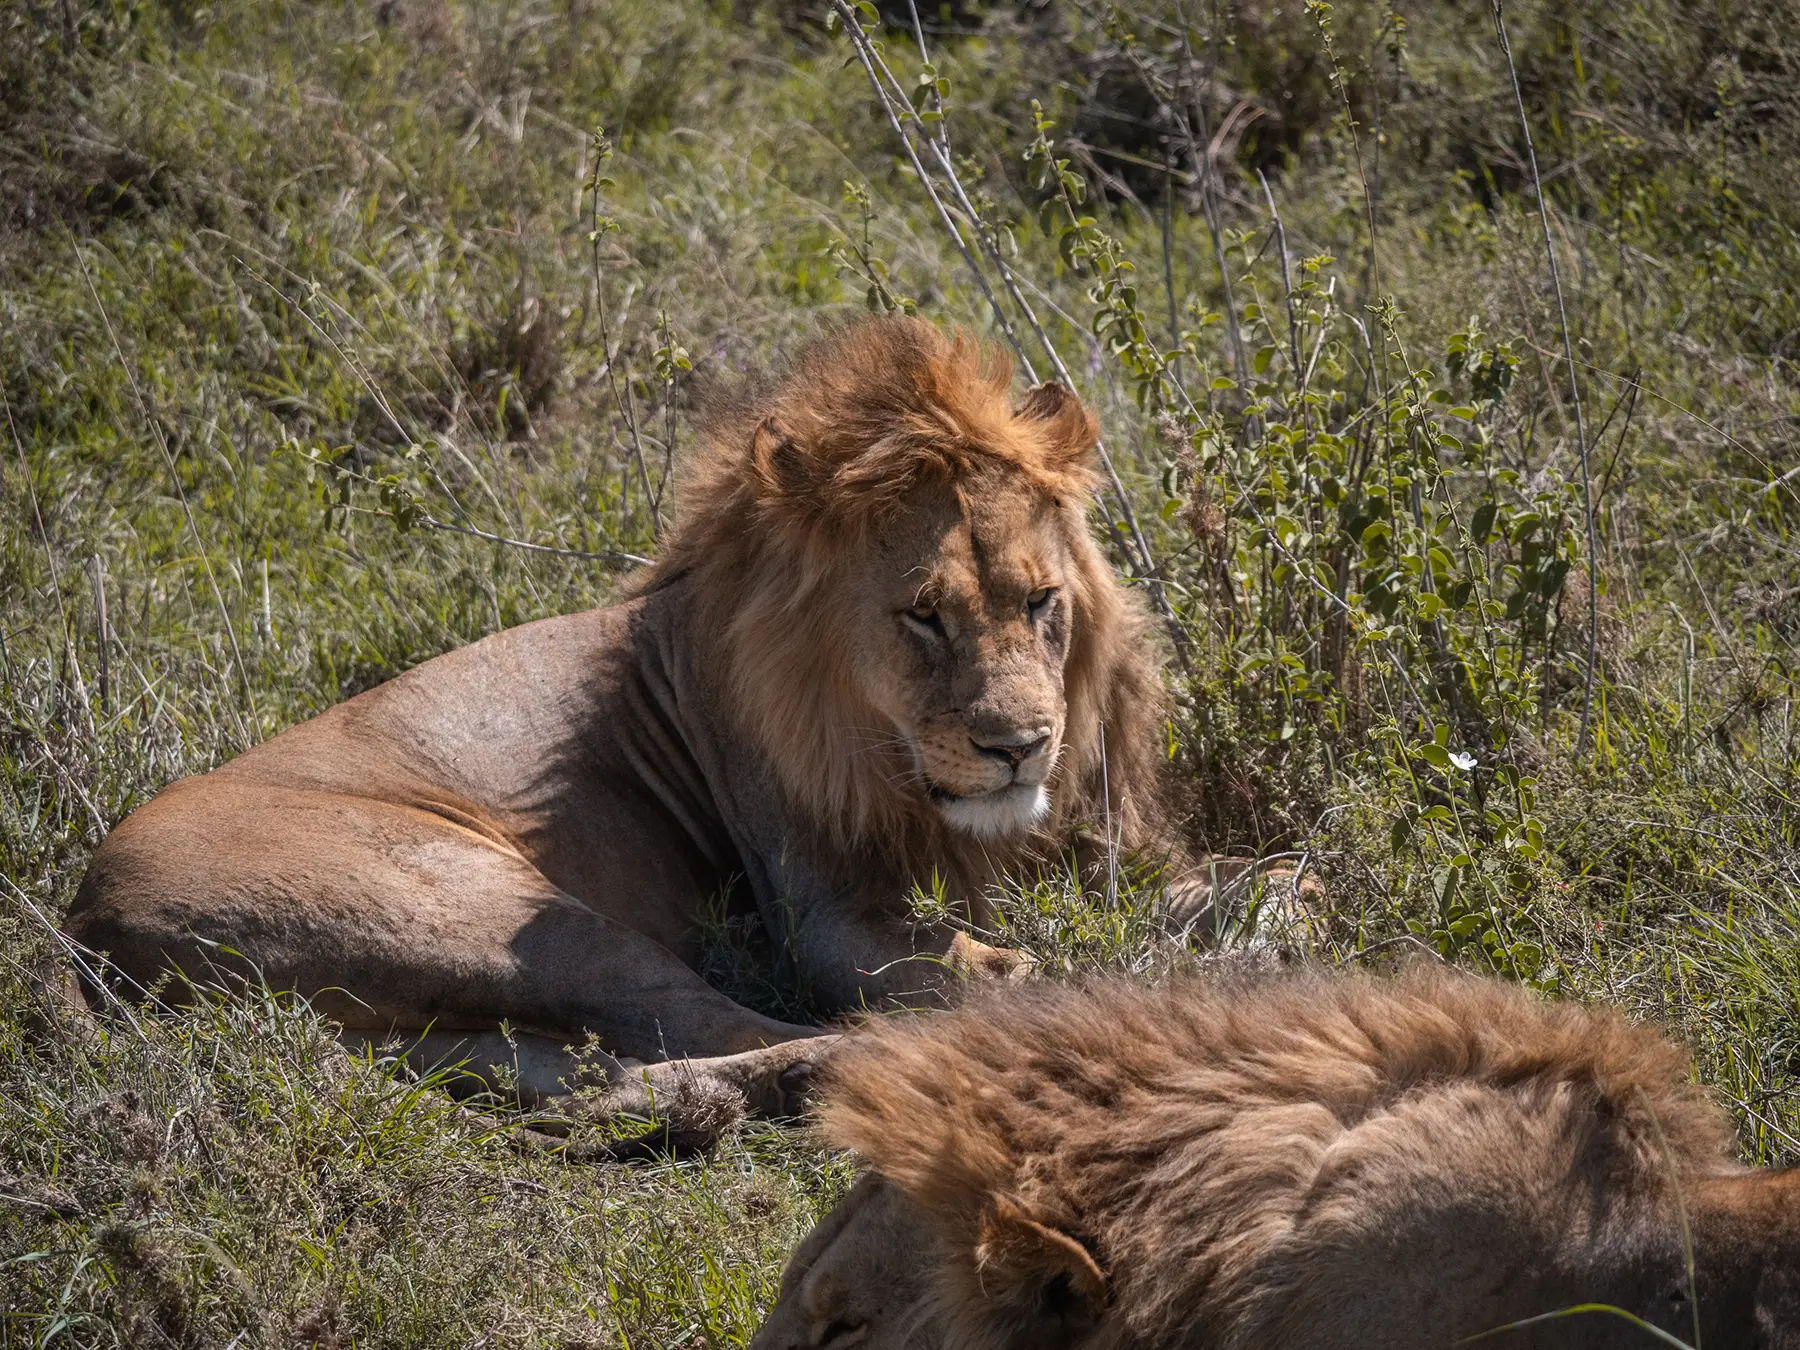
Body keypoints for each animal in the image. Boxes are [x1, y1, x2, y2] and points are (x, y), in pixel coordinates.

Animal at [64, 316, 1177, 1124]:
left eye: (1040, 602)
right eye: (923, 615)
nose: (1020, 747)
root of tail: (80, 920)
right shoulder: (825, 919)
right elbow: (979, 965)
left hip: (433, 1011)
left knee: (577, 1066)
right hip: (485, 908)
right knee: (723, 1019)